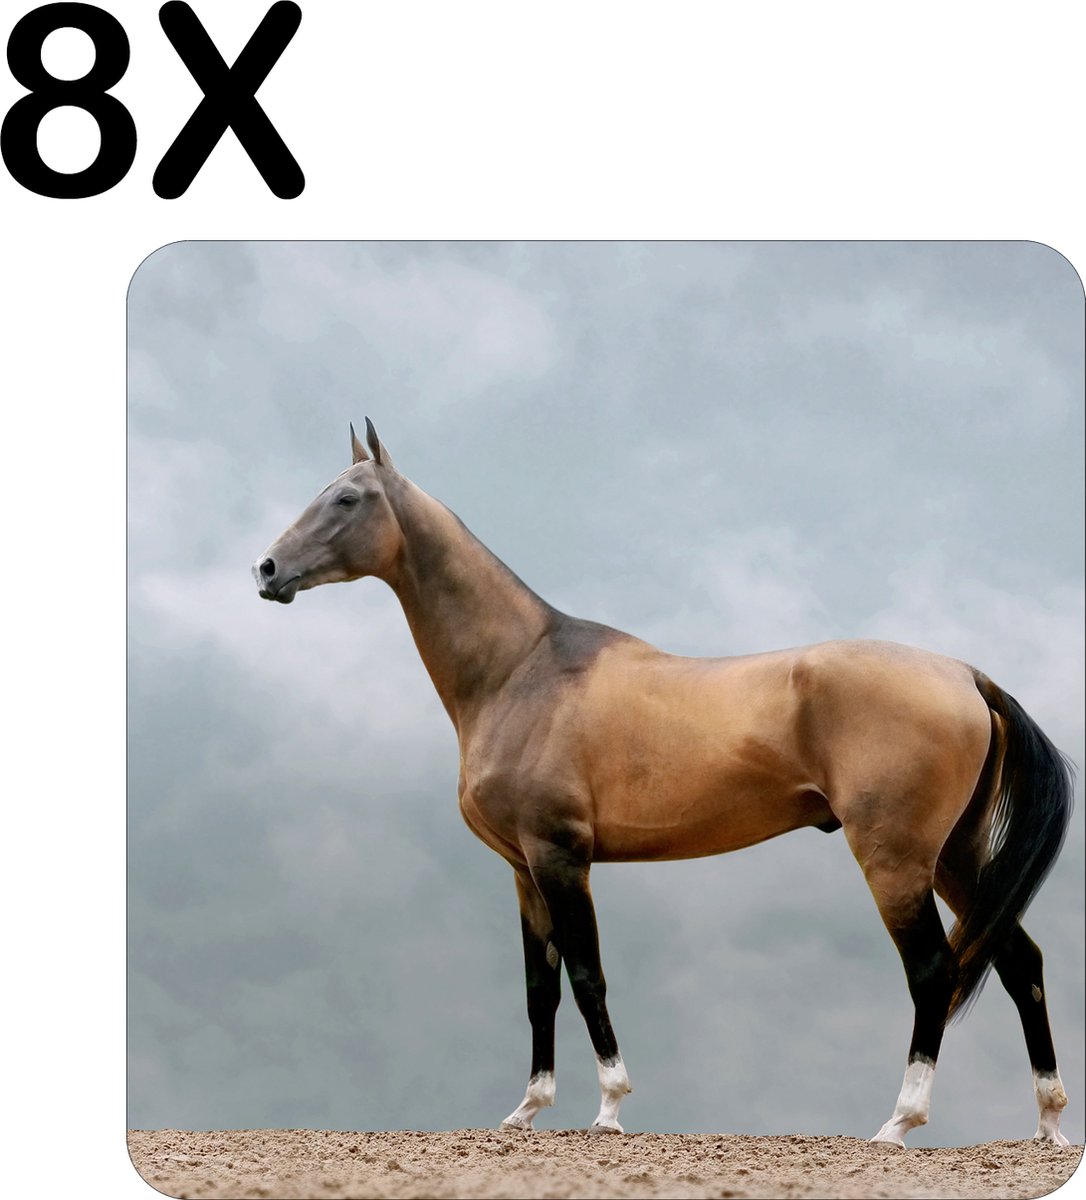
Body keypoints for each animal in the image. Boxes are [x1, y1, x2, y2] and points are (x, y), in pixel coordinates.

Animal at [253, 419, 1073, 1147]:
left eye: (347, 498)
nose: (266, 572)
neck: (522, 669)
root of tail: (964, 674)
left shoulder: (560, 857)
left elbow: (587, 976)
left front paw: (610, 1108)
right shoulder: (522, 869)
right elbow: (540, 989)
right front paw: (527, 1110)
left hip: (896, 861)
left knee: (934, 972)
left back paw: (899, 1123)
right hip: (954, 859)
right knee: (1020, 962)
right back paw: (1048, 1123)